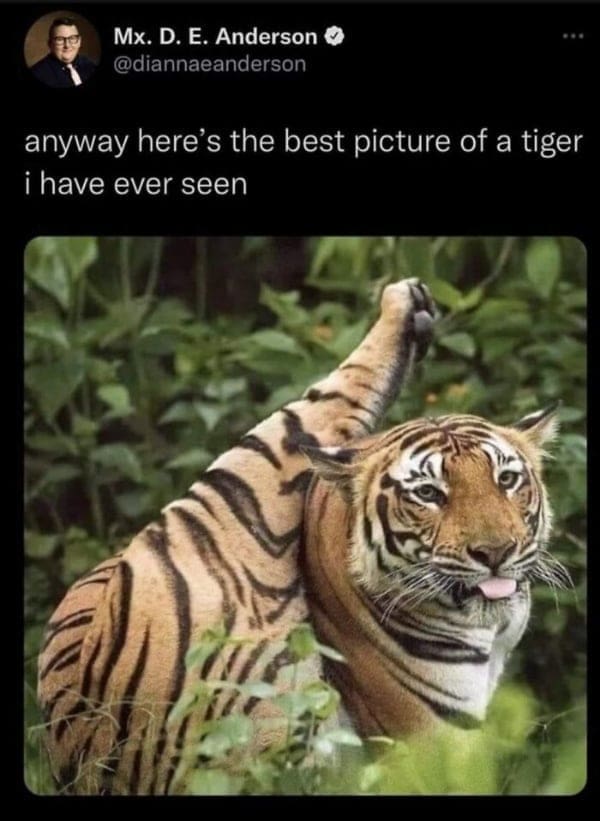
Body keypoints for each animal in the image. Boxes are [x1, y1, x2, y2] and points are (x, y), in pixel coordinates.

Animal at [36, 277, 563, 794]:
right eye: (429, 493)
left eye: (506, 480)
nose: (495, 552)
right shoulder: (432, 746)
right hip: (244, 486)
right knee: (311, 409)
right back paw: (403, 301)